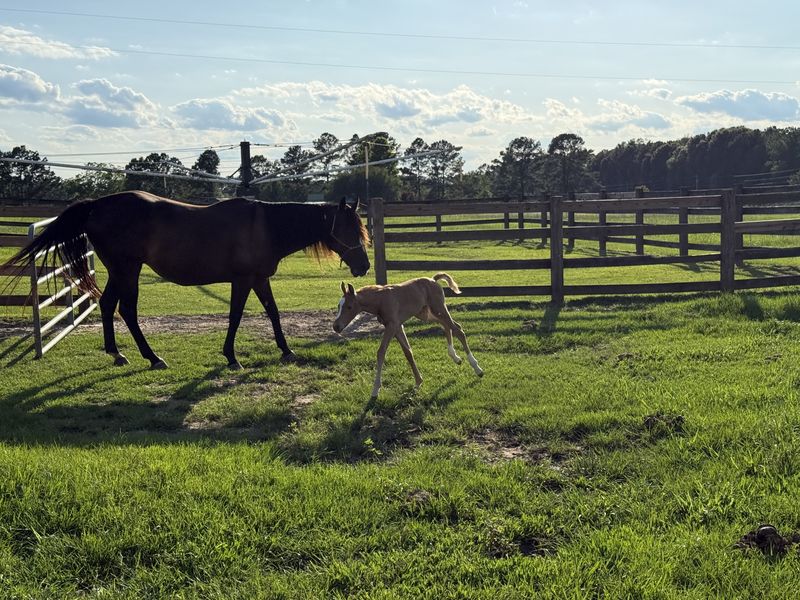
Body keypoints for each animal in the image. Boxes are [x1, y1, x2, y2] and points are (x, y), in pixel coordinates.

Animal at [4, 191, 370, 369]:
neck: (266, 225)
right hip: (128, 270)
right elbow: (236, 316)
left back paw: (117, 355)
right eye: (350, 228)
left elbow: (273, 313)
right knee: (128, 311)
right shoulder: (242, 280)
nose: (364, 266)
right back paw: (152, 358)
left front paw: (286, 350)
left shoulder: (258, 279)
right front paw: (231, 357)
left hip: (120, 271)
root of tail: (97, 205)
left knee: (108, 305)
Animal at [332, 273, 483, 399]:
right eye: (339, 306)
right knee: (447, 326)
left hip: (439, 309)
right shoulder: (398, 326)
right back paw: (456, 358)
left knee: (458, 330)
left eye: (349, 307)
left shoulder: (392, 325)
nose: (336, 327)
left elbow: (381, 352)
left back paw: (477, 368)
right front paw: (418, 381)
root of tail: (433, 279)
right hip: (427, 314)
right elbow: (408, 352)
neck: (380, 299)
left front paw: (375, 389)